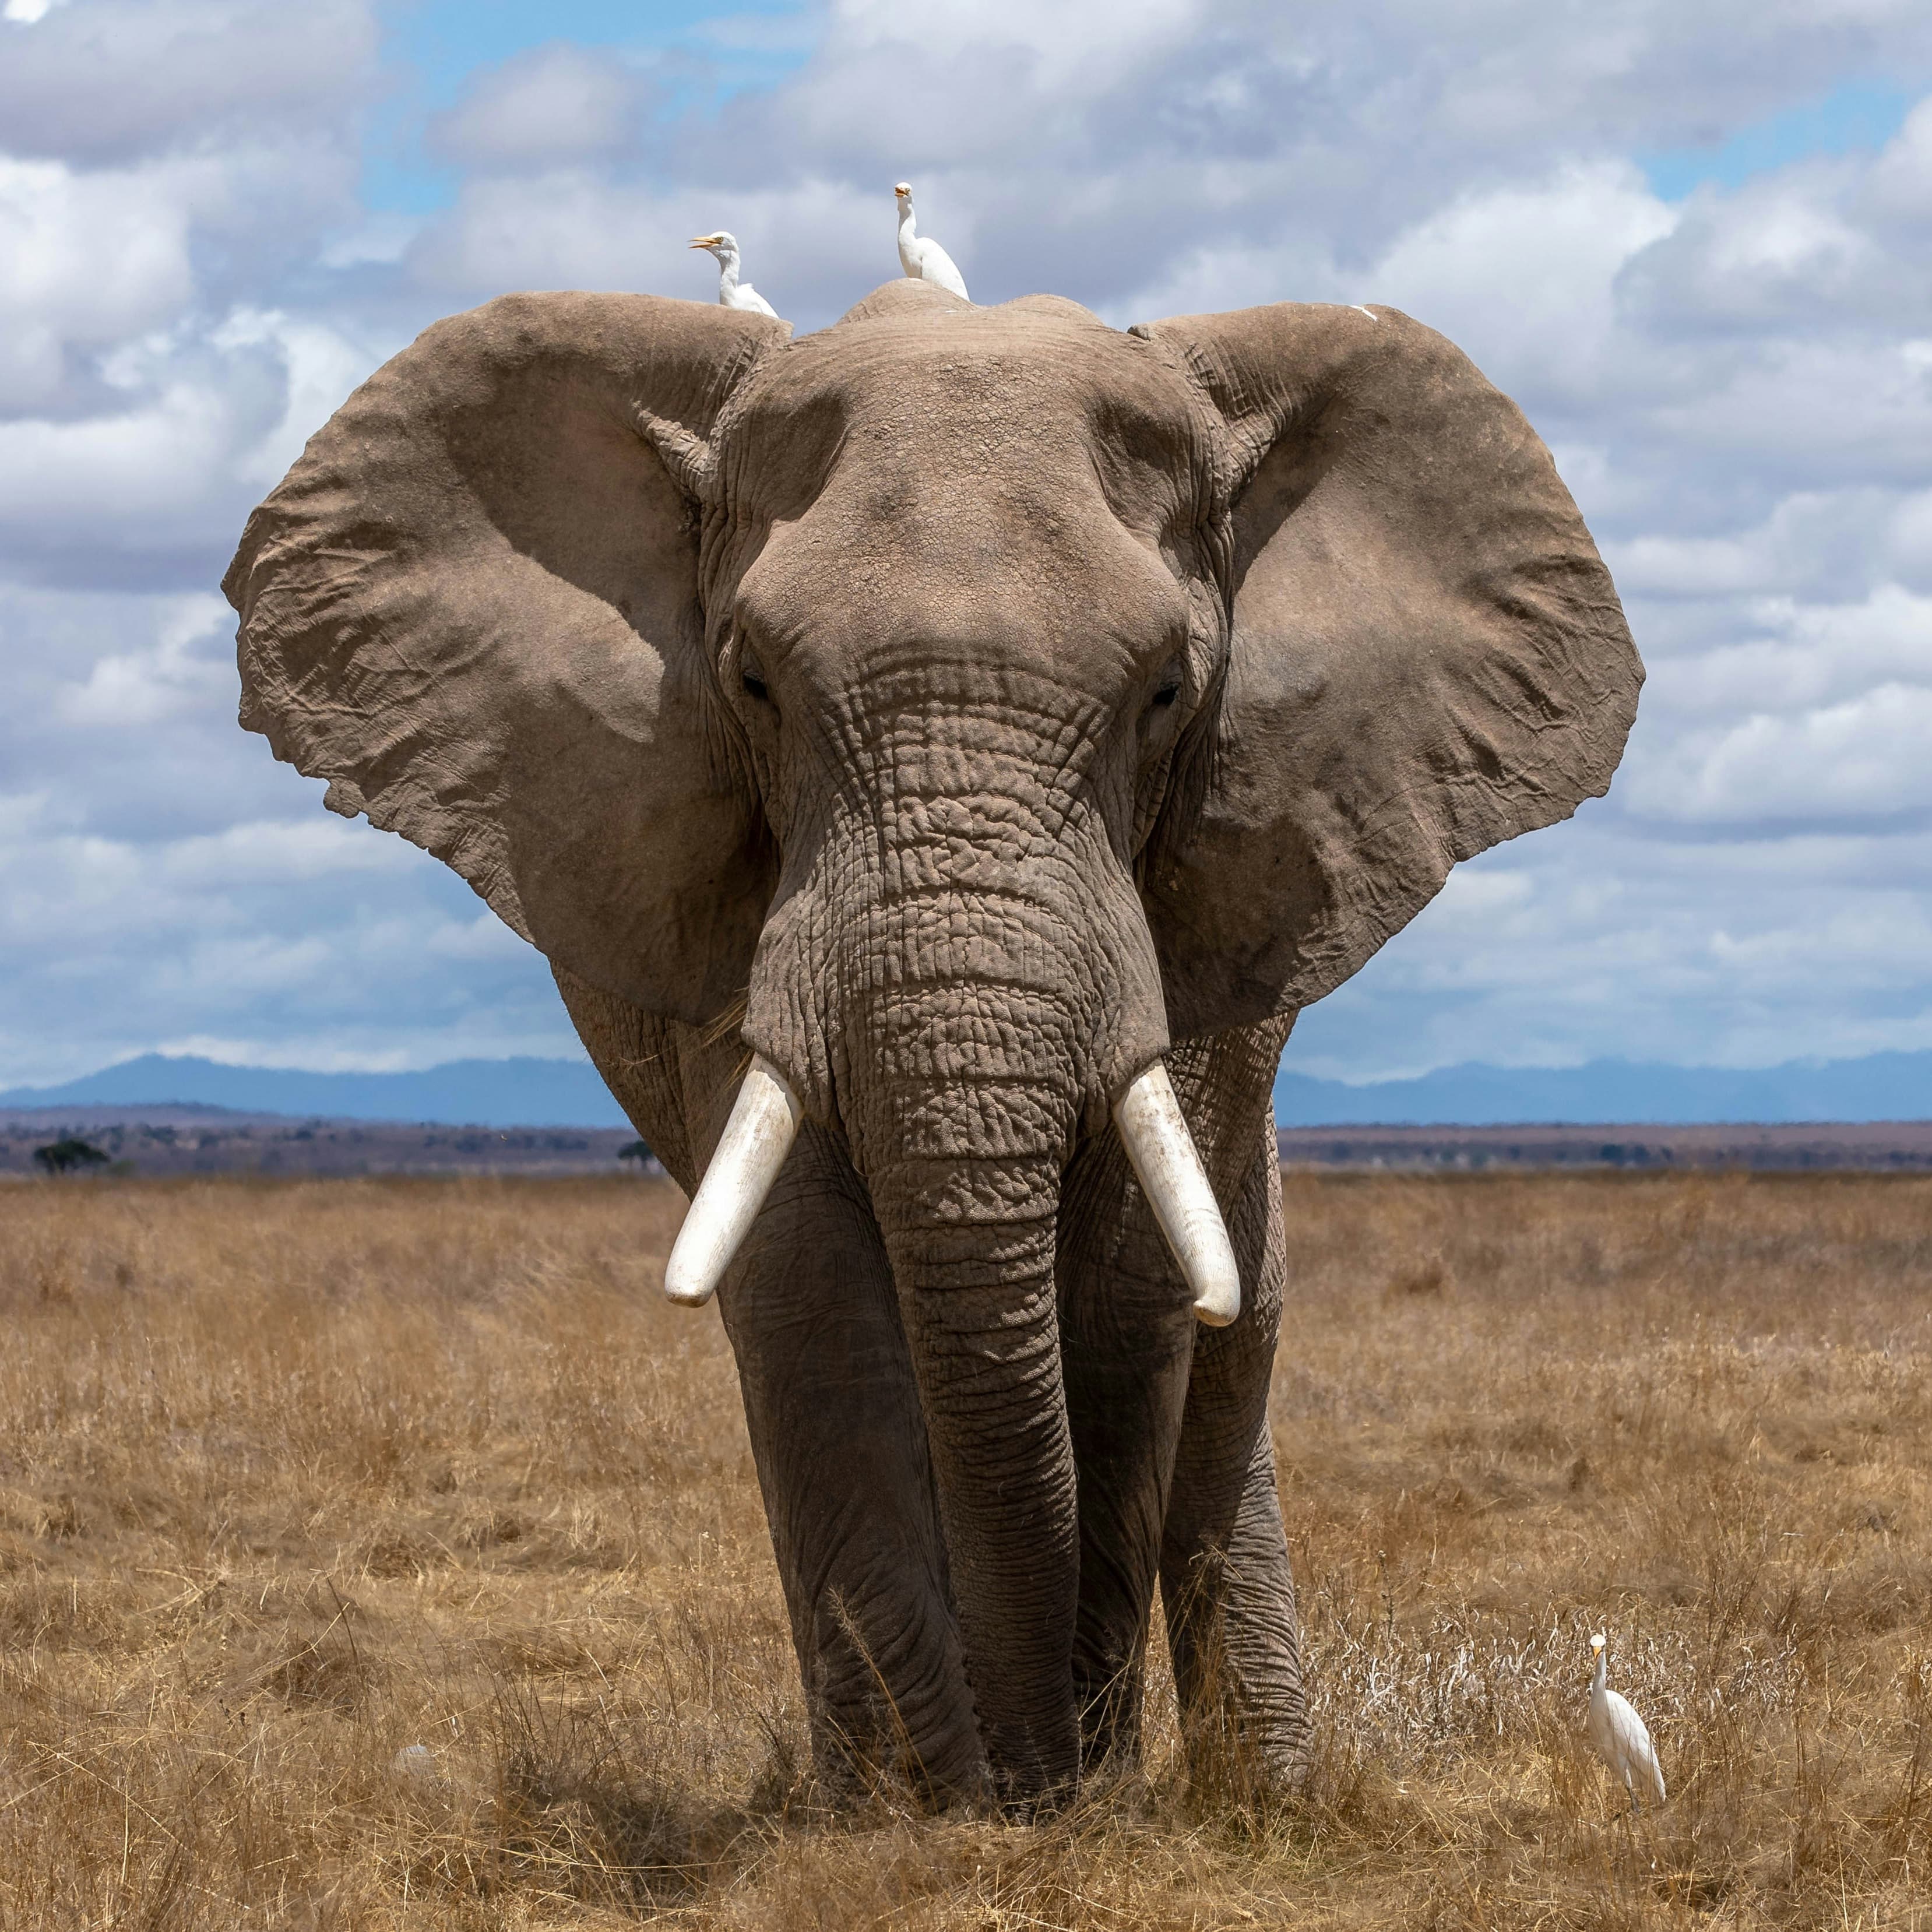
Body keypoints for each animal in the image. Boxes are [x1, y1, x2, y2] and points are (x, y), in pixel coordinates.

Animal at [224, 275, 1641, 1809]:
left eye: (1165, 691)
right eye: (752, 683)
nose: (1033, 1778)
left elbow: (1130, 1296)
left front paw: (1067, 1796)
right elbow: (808, 1287)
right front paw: (919, 1814)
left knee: (1233, 1331)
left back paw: (1261, 1795)